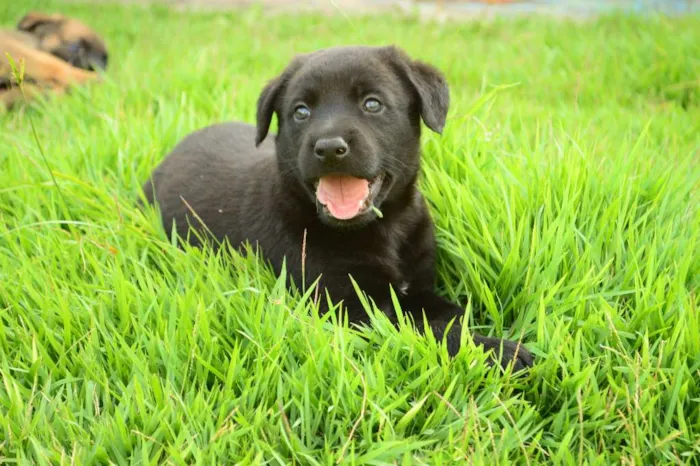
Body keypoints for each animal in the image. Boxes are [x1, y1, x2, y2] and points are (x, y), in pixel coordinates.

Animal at [144, 45, 536, 370]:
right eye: (301, 112)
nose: (329, 148)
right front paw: (501, 351)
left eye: (372, 104)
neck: (384, 228)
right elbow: (426, 328)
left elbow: (449, 314)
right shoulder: (348, 308)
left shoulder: (419, 285)